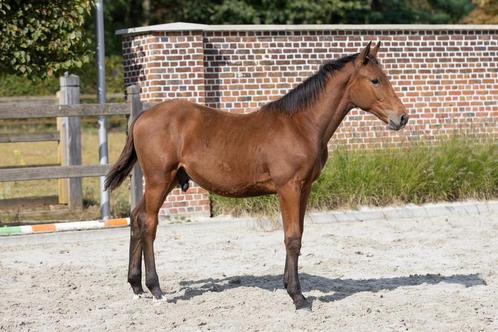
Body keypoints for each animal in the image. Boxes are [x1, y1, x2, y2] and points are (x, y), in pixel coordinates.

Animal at [105, 41, 408, 308]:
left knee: (136, 217)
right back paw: (156, 289)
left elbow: (298, 235)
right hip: (159, 179)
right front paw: (298, 297)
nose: (402, 117)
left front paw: (289, 286)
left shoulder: (305, 188)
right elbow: (292, 238)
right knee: (148, 223)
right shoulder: (289, 188)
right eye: (375, 80)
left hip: (165, 181)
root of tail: (141, 117)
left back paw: (136, 286)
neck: (301, 124)